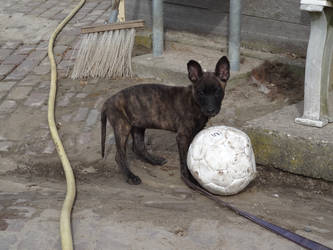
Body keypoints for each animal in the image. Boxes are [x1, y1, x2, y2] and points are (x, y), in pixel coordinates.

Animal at [100, 57, 228, 186]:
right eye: (201, 93)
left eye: (217, 92)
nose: (210, 110)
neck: (194, 102)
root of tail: (108, 101)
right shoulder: (182, 136)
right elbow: (184, 158)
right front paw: (188, 178)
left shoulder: (194, 133)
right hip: (122, 126)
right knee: (120, 155)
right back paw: (130, 176)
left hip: (138, 125)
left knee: (138, 147)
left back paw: (154, 160)